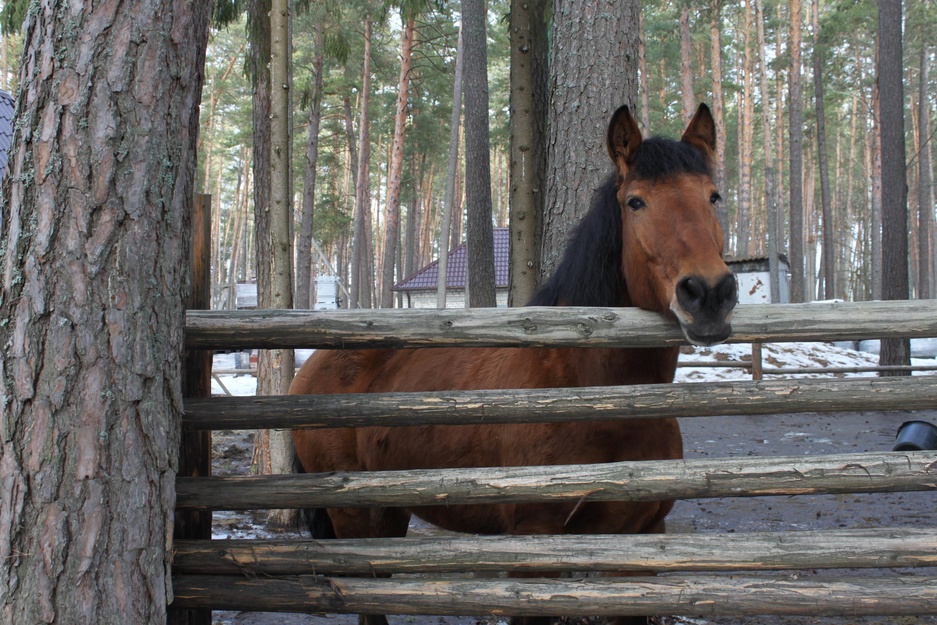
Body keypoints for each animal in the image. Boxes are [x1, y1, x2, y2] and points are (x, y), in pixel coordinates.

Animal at [288, 105, 736, 624]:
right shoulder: (533, 547)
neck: (591, 396)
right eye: (636, 202)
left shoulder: (640, 544)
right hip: (355, 517)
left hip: (390, 511)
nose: (709, 293)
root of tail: (313, 367)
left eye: (713, 196)